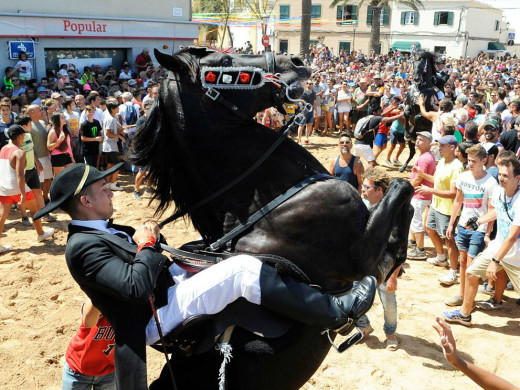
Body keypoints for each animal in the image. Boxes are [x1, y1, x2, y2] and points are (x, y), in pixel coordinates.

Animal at [133, 47, 414, 388]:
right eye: (224, 62)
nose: (295, 61)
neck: (266, 202)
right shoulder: (362, 257)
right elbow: (402, 189)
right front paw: (396, 258)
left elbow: (405, 197)